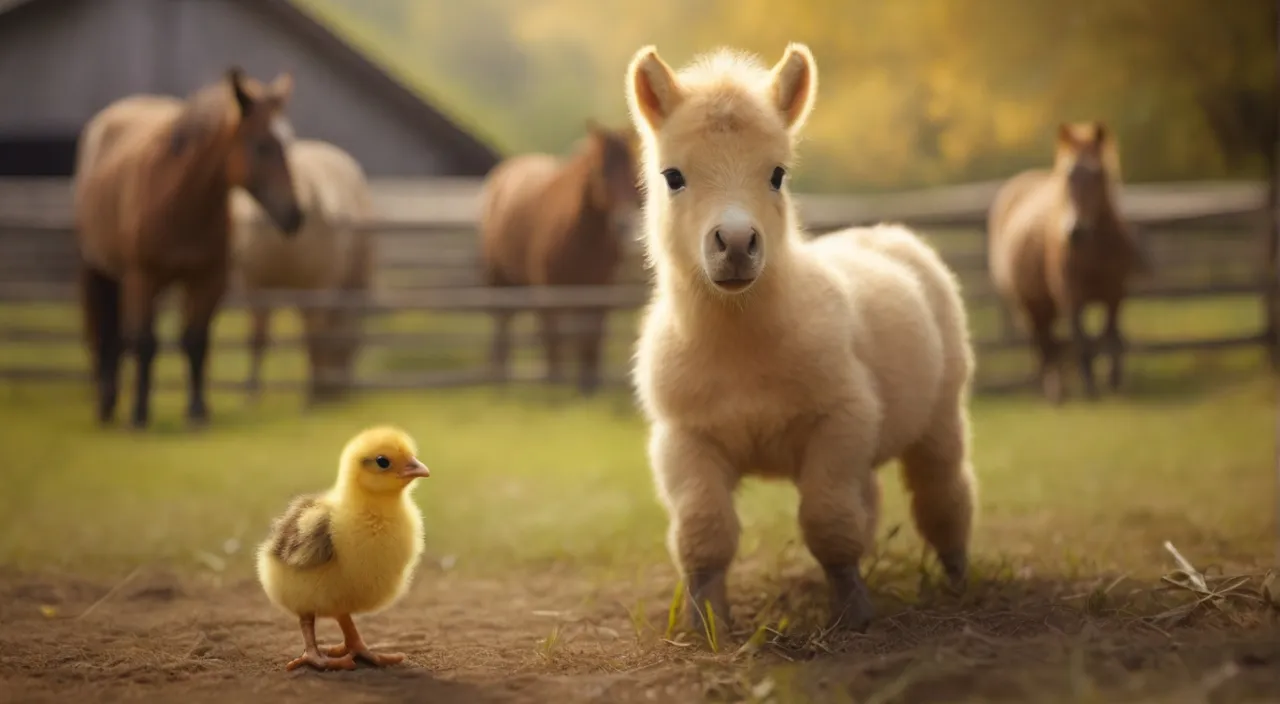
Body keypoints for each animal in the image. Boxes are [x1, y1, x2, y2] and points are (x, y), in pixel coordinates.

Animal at [74, 69, 302, 430]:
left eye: (289, 143)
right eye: (262, 146)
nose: (294, 215)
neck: (180, 200)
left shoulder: (209, 279)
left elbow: (195, 340)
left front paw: (197, 410)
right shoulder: (142, 276)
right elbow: (144, 342)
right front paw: (139, 413)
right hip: (99, 272)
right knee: (106, 333)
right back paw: (107, 403)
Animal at [231, 139, 373, 401]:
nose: (338, 391)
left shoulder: (318, 288)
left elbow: (312, 338)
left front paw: (312, 393)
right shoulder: (255, 285)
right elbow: (258, 338)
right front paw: (252, 393)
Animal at [478, 121, 645, 396]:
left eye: (633, 172)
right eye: (601, 171)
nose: (623, 224)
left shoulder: (600, 290)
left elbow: (591, 336)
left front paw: (589, 386)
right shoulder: (550, 290)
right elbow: (554, 337)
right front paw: (555, 386)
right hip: (500, 280)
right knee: (503, 324)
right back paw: (500, 378)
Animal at [988, 122, 1152, 404]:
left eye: (1099, 174)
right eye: (1068, 175)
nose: (1076, 231)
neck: (1093, 250)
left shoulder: (1115, 294)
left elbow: (1110, 337)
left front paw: (1114, 380)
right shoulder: (1072, 298)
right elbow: (1082, 342)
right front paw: (1090, 387)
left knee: (1052, 344)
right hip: (1031, 305)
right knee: (1045, 347)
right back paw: (1056, 392)